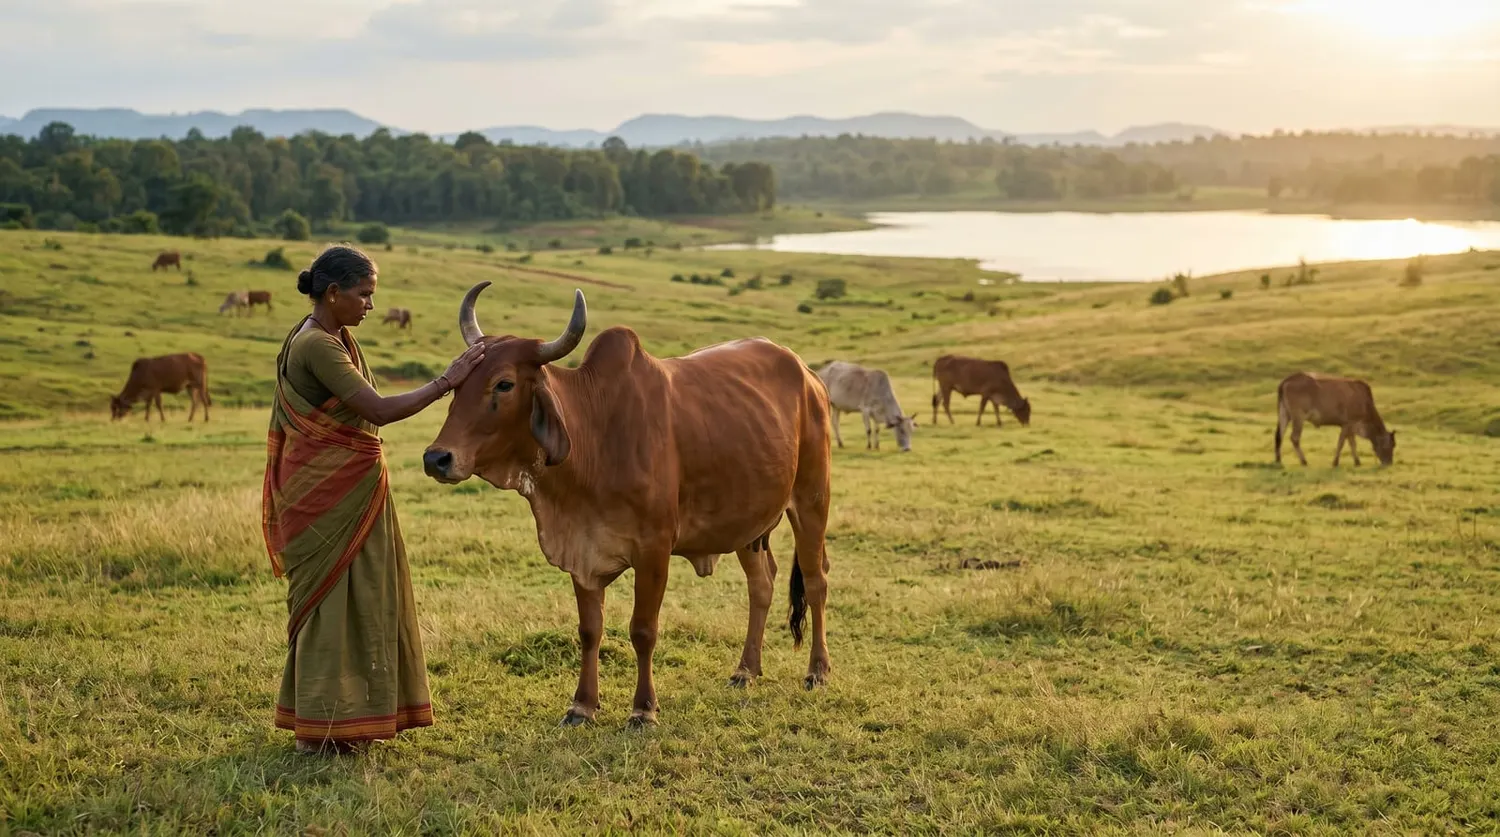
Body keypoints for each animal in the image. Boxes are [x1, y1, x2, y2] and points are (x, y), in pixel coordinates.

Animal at [423, 282, 833, 727]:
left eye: (503, 384)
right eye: (456, 384)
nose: (436, 458)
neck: (595, 434)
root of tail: (808, 374)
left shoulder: (654, 550)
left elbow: (643, 629)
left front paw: (643, 709)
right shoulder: (582, 551)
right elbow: (590, 630)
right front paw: (582, 705)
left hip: (812, 502)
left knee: (816, 582)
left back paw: (817, 671)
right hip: (749, 523)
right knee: (762, 583)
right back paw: (746, 671)